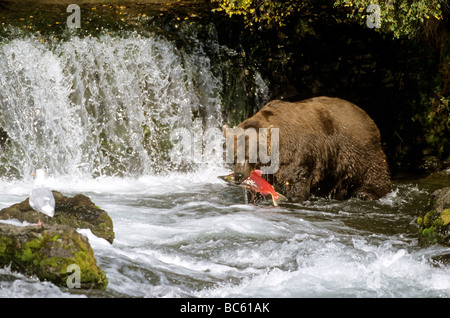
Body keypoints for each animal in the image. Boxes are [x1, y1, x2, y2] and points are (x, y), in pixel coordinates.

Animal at [224, 95, 390, 202]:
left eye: (250, 154)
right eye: (234, 155)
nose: (238, 175)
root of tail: (367, 116)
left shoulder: (299, 154)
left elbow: (297, 181)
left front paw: (294, 198)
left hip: (358, 148)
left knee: (373, 172)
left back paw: (367, 193)